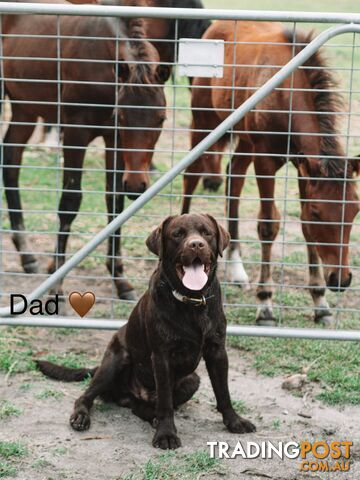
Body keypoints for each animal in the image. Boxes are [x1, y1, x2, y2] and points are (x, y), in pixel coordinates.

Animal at [1, 0, 172, 300]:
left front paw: (121, 280)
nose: (137, 185)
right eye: (122, 117)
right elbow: (70, 202)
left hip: (25, 108)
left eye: (161, 119)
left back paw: (27, 255)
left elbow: (114, 202)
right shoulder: (75, 133)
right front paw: (56, 281)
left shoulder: (114, 141)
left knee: (10, 161)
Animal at [183, 21, 360, 326]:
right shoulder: (265, 160)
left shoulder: (303, 167)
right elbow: (268, 225)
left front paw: (320, 301)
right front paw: (265, 303)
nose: (341, 279)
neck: (286, 94)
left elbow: (304, 228)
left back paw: (237, 268)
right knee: (191, 176)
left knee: (234, 178)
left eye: (355, 210)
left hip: (243, 138)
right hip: (205, 120)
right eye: (319, 214)